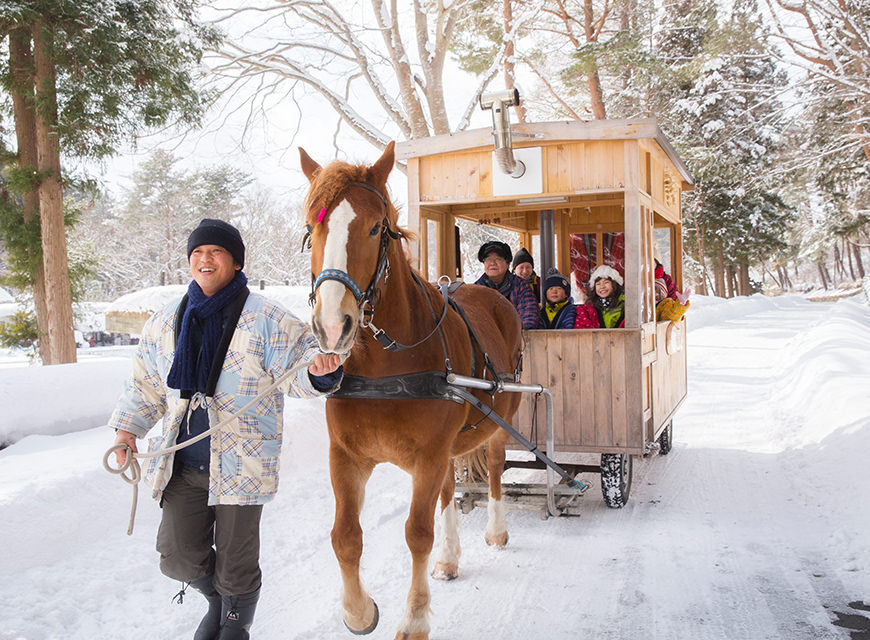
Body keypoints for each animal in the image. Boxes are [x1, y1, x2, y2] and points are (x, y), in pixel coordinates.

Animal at [299, 141, 524, 640]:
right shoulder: (348, 456)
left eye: (374, 227)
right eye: (311, 228)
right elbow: (345, 536)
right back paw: (449, 558)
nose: (332, 326)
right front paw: (359, 611)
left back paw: (498, 530)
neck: (388, 366)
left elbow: (417, 533)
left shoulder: (429, 454)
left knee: (495, 469)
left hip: (500, 419)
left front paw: (416, 618)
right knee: (447, 490)